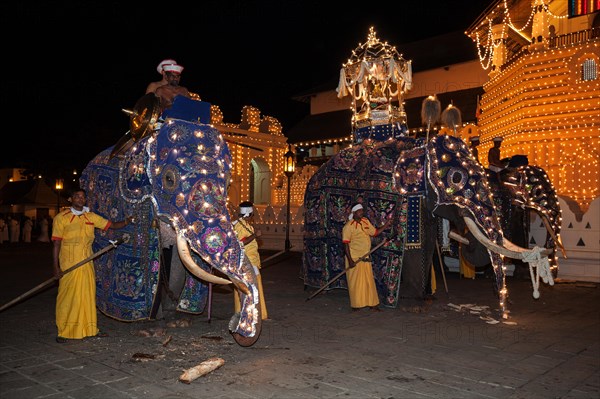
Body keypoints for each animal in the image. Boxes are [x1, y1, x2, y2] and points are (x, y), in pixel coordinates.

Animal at [81, 98, 262, 348]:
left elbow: (183, 261)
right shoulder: (136, 207)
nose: (237, 326)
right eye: (168, 179)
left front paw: (179, 320)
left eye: (227, 184)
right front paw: (149, 326)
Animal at [302, 134, 556, 316]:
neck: (423, 149)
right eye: (456, 179)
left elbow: (427, 244)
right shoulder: (409, 201)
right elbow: (413, 249)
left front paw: (428, 298)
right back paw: (315, 289)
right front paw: (415, 305)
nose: (505, 313)